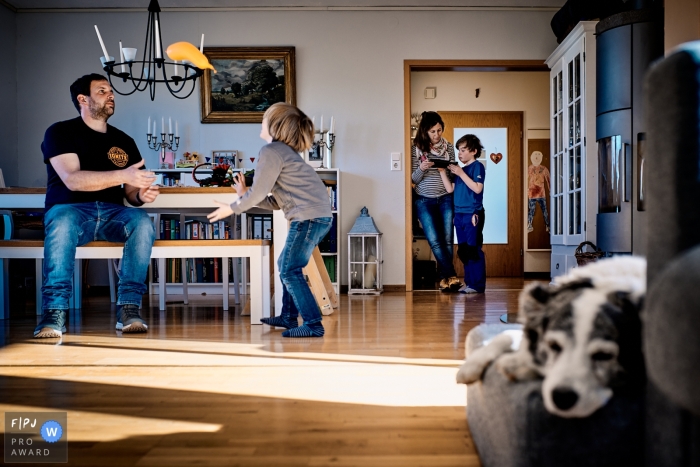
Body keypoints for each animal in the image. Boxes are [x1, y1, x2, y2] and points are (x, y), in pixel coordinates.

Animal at [460, 258, 644, 418]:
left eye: (605, 355)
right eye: (553, 345)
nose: (563, 398)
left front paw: (517, 365)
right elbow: (506, 335)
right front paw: (470, 366)